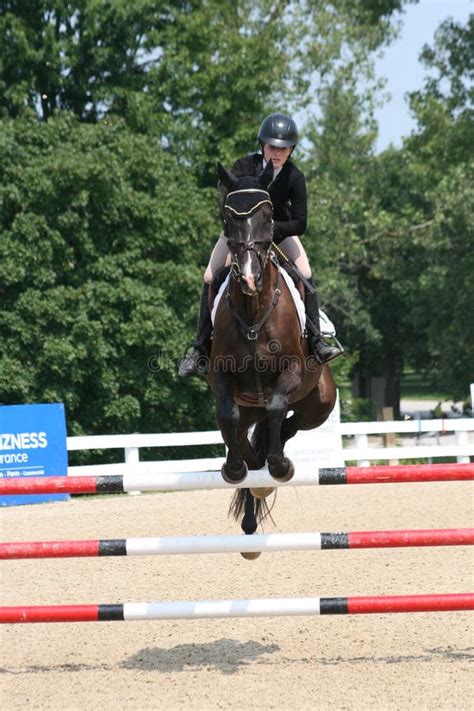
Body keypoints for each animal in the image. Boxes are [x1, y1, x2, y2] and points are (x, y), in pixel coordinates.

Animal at [208, 161, 336, 552]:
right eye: (227, 217)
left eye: (268, 217)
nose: (249, 277)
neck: (253, 309)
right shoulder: (220, 376)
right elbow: (228, 414)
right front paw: (238, 468)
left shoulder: (291, 370)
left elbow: (279, 407)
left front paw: (278, 467)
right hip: (252, 408)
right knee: (241, 431)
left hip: (320, 403)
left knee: (289, 424)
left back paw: (271, 466)